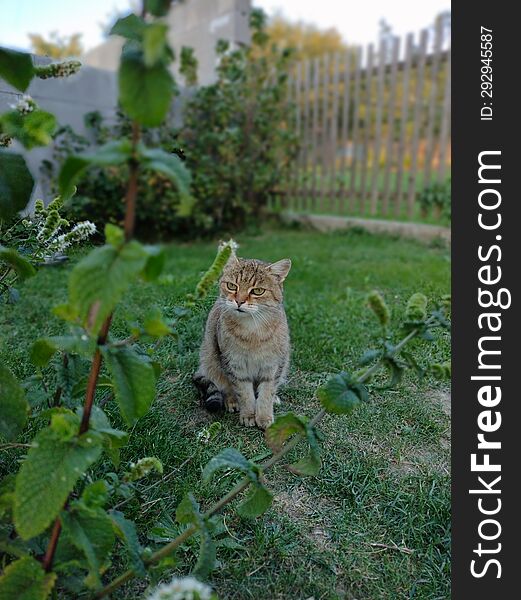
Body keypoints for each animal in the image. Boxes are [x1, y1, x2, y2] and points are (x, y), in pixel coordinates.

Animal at [193, 251, 290, 428]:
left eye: (257, 291)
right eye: (232, 286)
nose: (239, 301)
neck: (252, 331)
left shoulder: (273, 365)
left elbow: (267, 392)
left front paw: (264, 415)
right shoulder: (234, 365)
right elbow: (244, 392)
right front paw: (249, 414)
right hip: (211, 360)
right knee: (224, 386)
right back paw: (231, 401)